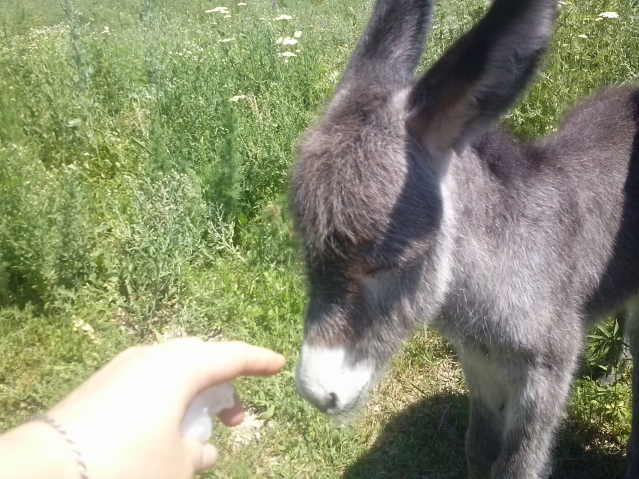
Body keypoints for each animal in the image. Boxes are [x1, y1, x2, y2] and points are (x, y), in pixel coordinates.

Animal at [292, 0, 639, 478]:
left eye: (389, 265)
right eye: (307, 252)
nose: (315, 392)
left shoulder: (546, 377)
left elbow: (515, 466)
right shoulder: (478, 364)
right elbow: (478, 449)